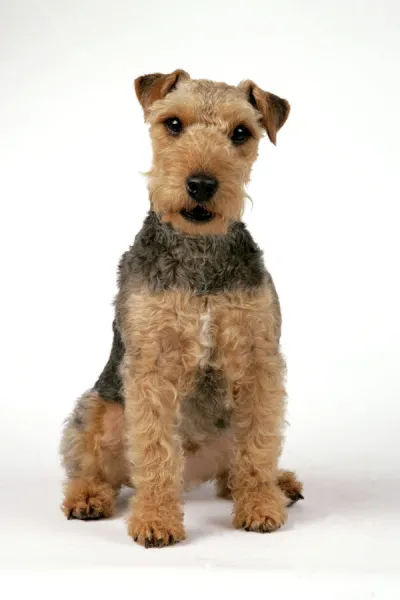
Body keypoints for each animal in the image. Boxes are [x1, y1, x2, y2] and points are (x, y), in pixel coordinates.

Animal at [60, 70, 304, 548]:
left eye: (241, 133)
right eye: (173, 123)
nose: (202, 185)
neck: (199, 254)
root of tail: (193, 476)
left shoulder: (259, 360)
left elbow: (258, 447)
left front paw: (261, 507)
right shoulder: (151, 366)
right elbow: (155, 451)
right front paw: (156, 521)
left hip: (225, 431)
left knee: (235, 470)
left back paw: (278, 486)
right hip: (97, 409)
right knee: (97, 468)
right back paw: (87, 499)